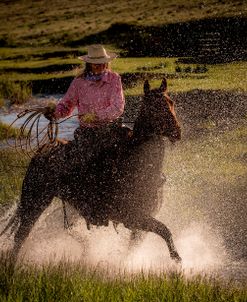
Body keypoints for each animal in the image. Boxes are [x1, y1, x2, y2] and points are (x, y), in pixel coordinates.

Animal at [0, 78, 181, 262]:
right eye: (154, 106)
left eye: (171, 102)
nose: (177, 132)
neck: (139, 166)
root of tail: (42, 151)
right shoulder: (132, 218)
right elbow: (164, 230)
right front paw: (177, 259)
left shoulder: (142, 220)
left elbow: (143, 242)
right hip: (36, 200)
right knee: (22, 235)